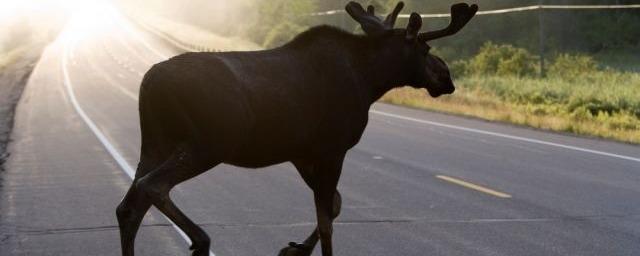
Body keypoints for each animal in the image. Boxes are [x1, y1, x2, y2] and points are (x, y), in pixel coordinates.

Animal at [115, 1, 476, 255]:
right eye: (425, 49)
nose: (447, 78)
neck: (371, 80)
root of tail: (149, 83)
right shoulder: (332, 148)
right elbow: (327, 219)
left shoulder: (302, 153)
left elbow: (335, 205)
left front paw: (296, 249)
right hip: (208, 144)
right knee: (152, 186)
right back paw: (202, 240)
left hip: (156, 142)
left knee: (128, 207)